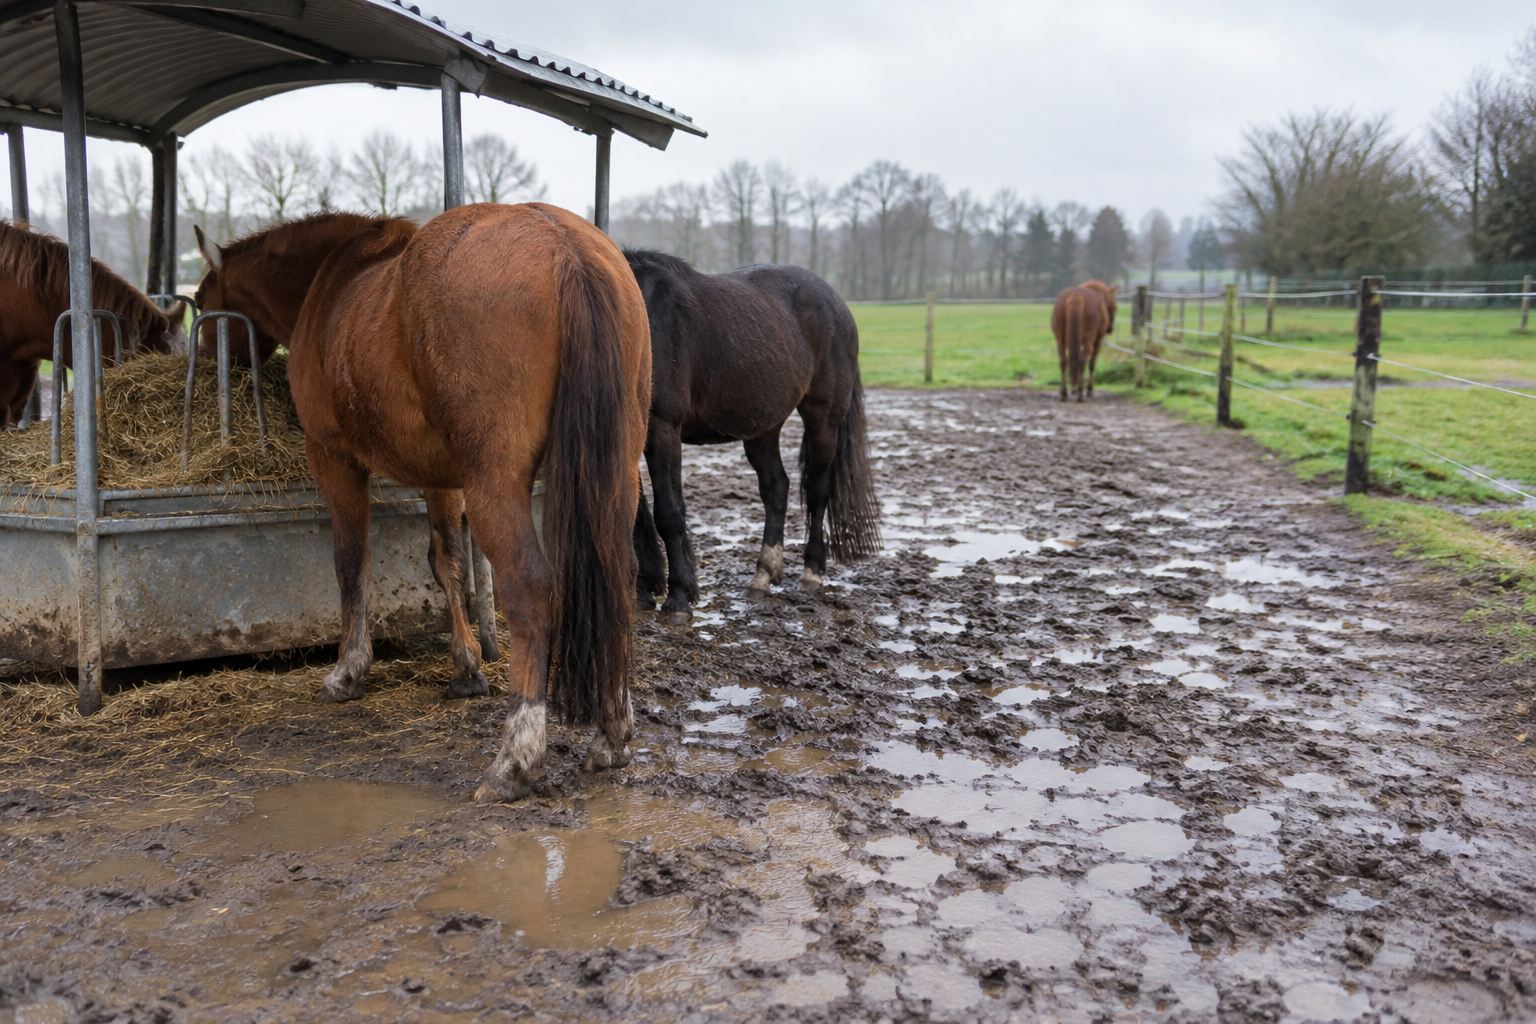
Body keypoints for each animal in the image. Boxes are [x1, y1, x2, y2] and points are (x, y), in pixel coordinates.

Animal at [193, 206, 651, 803]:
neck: (336, 282)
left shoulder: (333, 457)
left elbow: (351, 564)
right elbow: (447, 562)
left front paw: (348, 670)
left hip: (495, 482)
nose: (203, 366)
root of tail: (564, 247)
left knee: (530, 590)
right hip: (614, 475)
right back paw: (613, 733)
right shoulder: (443, 477)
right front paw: (466, 669)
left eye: (200, 302)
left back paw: (515, 758)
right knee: (620, 576)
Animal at [624, 249, 881, 623]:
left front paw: (679, 598)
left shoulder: (662, 428)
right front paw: (644, 591)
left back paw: (812, 571)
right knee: (776, 488)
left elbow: (668, 514)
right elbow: (633, 512)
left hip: (823, 420)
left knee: (817, 490)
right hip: (762, 427)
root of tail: (836, 301)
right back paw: (763, 575)